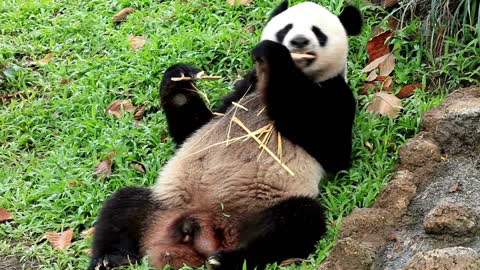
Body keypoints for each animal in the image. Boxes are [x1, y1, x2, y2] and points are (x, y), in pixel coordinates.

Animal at [88, 2, 362, 270]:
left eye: (318, 32)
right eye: (286, 28)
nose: (299, 42)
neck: (301, 77)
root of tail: (202, 230)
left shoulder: (334, 93)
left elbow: (333, 150)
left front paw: (275, 56)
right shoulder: (245, 89)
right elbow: (193, 129)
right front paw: (179, 80)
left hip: (257, 211)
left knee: (296, 222)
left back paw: (227, 259)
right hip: (164, 205)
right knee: (122, 207)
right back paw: (109, 259)